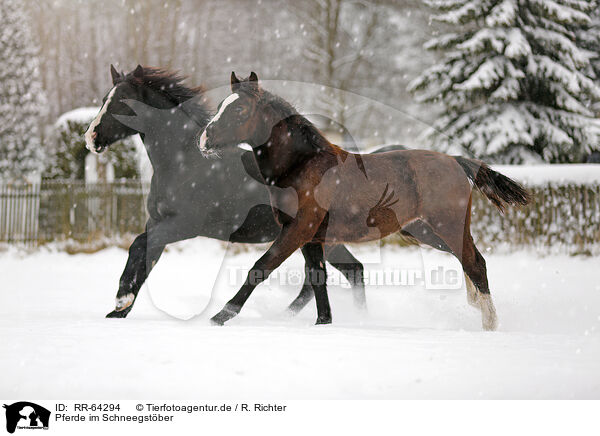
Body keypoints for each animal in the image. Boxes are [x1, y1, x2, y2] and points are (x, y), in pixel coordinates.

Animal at [82, 64, 368, 316]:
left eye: (123, 102)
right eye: (105, 99)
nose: (91, 137)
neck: (183, 163)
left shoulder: (185, 225)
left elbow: (137, 245)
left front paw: (121, 299)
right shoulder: (156, 222)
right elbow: (145, 261)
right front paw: (119, 311)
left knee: (349, 270)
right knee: (343, 271)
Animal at [198, 72, 528, 330]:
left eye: (240, 109)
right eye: (221, 105)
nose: (204, 140)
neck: (303, 166)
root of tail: (457, 161)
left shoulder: (298, 229)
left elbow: (261, 267)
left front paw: (220, 317)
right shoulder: (312, 237)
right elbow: (317, 278)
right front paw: (324, 322)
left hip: (446, 225)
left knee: (476, 263)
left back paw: (489, 323)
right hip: (425, 231)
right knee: (468, 260)